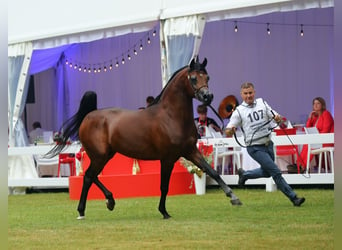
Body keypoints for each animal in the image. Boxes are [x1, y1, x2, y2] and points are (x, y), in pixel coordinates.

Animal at [48, 57, 242, 219]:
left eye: (207, 77)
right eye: (193, 78)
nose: (208, 96)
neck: (171, 117)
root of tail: (89, 115)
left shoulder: (190, 151)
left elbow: (212, 171)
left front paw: (234, 198)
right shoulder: (168, 158)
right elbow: (164, 186)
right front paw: (164, 212)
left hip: (106, 155)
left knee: (92, 175)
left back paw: (110, 201)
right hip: (99, 155)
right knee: (88, 176)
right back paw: (82, 211)